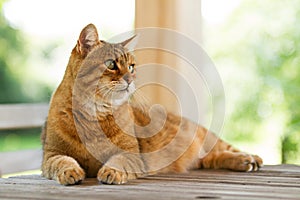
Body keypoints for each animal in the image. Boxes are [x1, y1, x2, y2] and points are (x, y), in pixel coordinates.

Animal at [41, 24, 262, 185]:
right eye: (111, 64)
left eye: (131, 66)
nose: (130, 79)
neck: (94, 115)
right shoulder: (51, 155)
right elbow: (62, 161)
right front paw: (71, 171)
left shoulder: (132, 154)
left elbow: (118, 160)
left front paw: (110, 171)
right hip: (203, 158)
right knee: (213, 158)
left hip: (208, 139)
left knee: (226, 149)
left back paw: (249, 158)